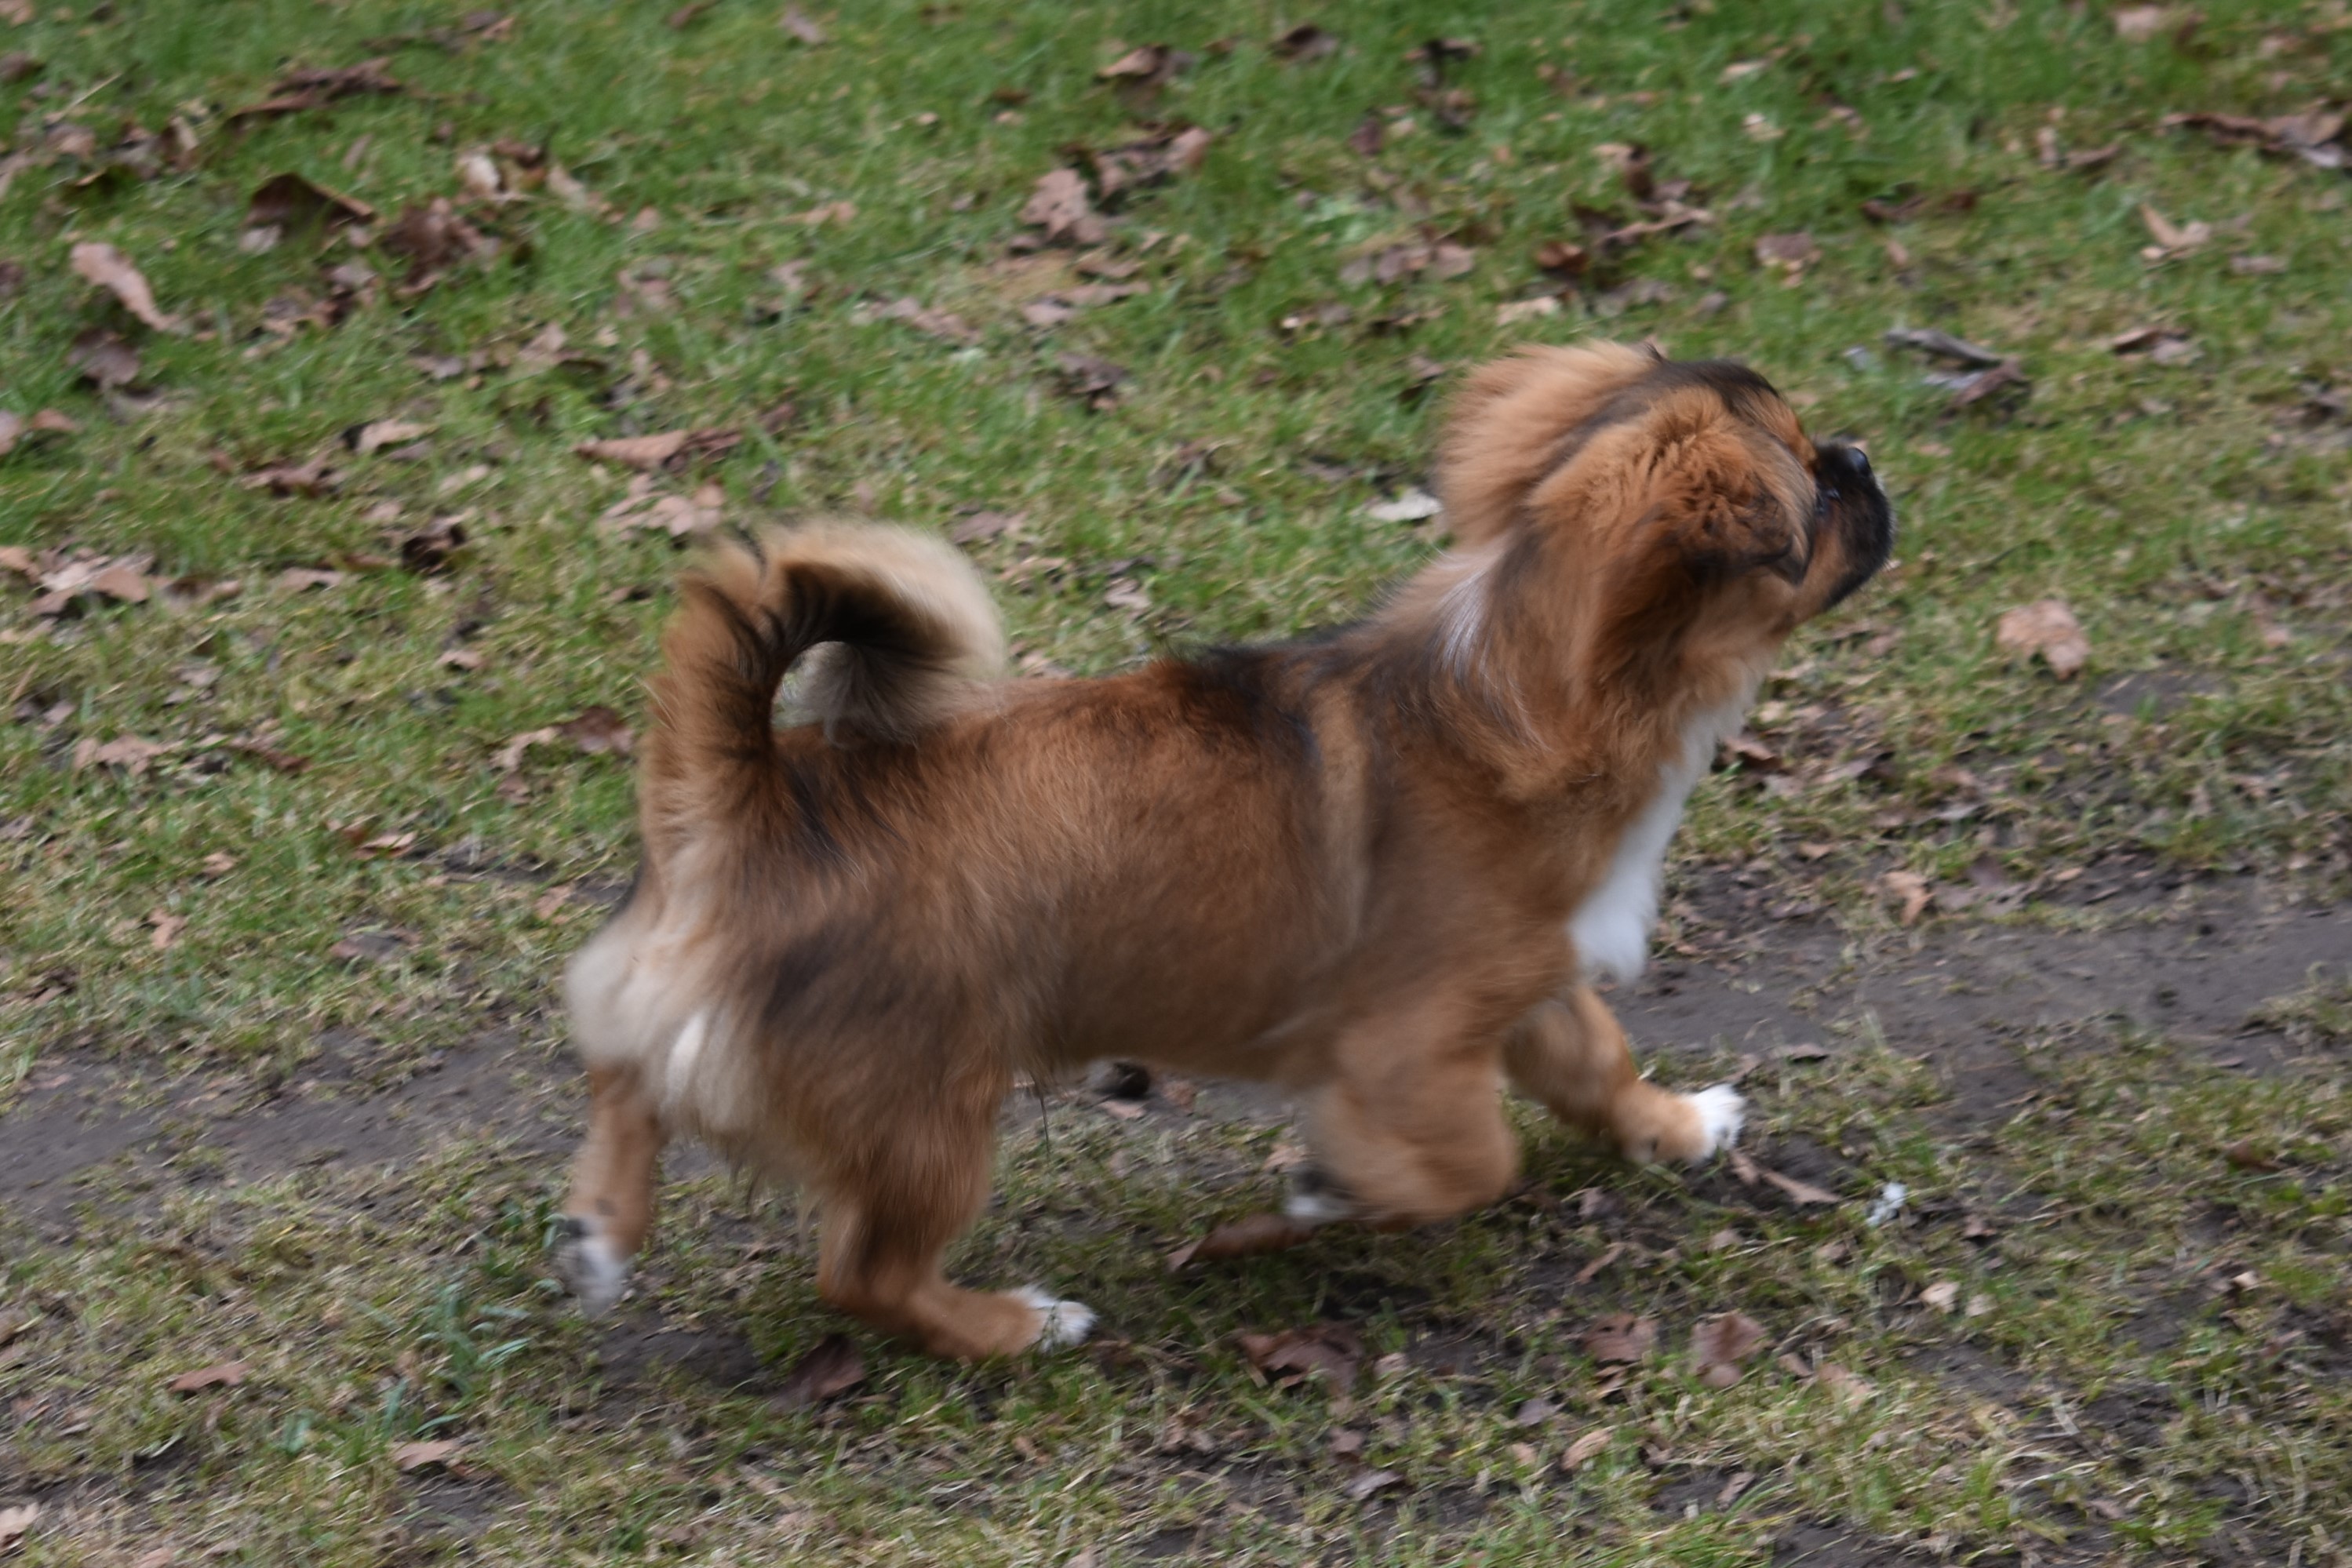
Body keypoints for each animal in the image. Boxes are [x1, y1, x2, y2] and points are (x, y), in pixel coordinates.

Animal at [550, 343, 1891, 1363]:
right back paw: (1014, 1325)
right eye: (1814, 495)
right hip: (928, 1114)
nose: (1864, 457)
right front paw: (1325, 1196)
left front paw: (1678, 1125)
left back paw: (599, 1228)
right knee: (863, 1269)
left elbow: (1597, 1065)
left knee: (628, 1072)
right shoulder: (1407, 1048)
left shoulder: (1532, 982)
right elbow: (1473, 1156)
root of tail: (753, 791)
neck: (1532, 688)